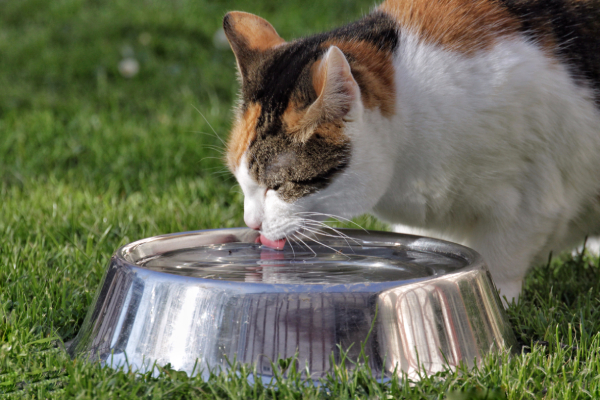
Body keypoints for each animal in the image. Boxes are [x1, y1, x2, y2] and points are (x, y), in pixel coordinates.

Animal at [223, 0, 600, 304]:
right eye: (241, 182)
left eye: (278, 186)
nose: (251, 223)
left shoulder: (530, 196)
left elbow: (501, 259)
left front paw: (499, 300)